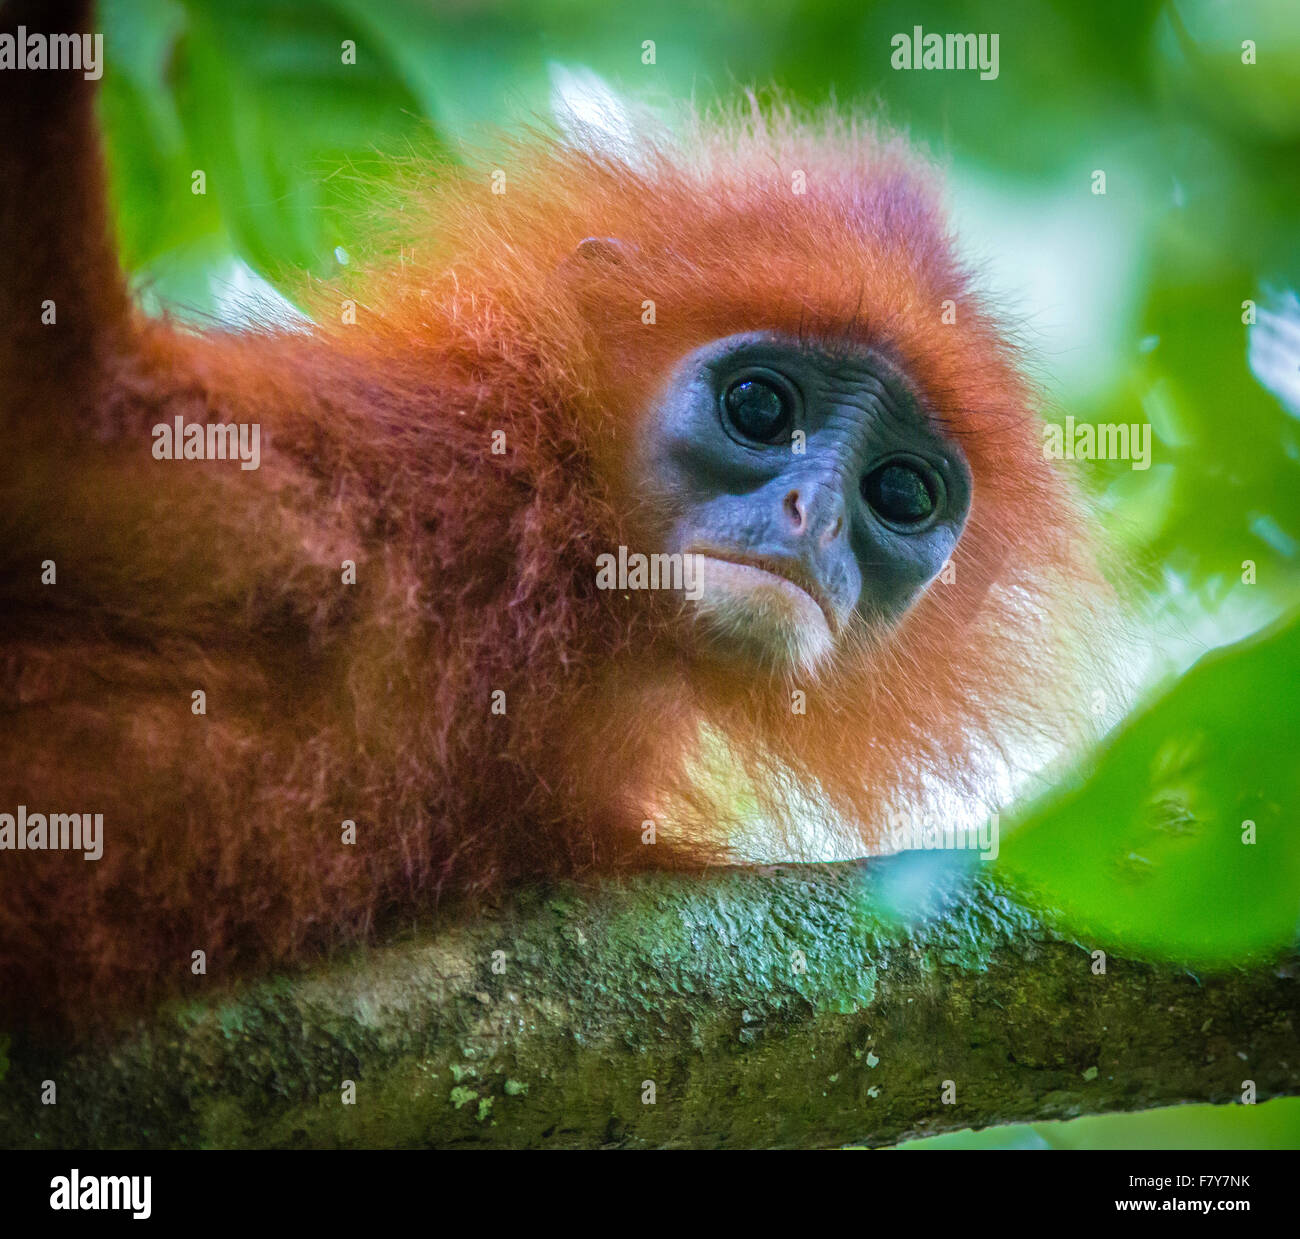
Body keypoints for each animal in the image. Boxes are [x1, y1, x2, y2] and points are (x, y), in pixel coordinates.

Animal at [0, 2, 1107, 1034]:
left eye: (900, 494)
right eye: (758, 407)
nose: (815, 515)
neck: (568, 594)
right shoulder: (394, 479)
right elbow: (55, 415)